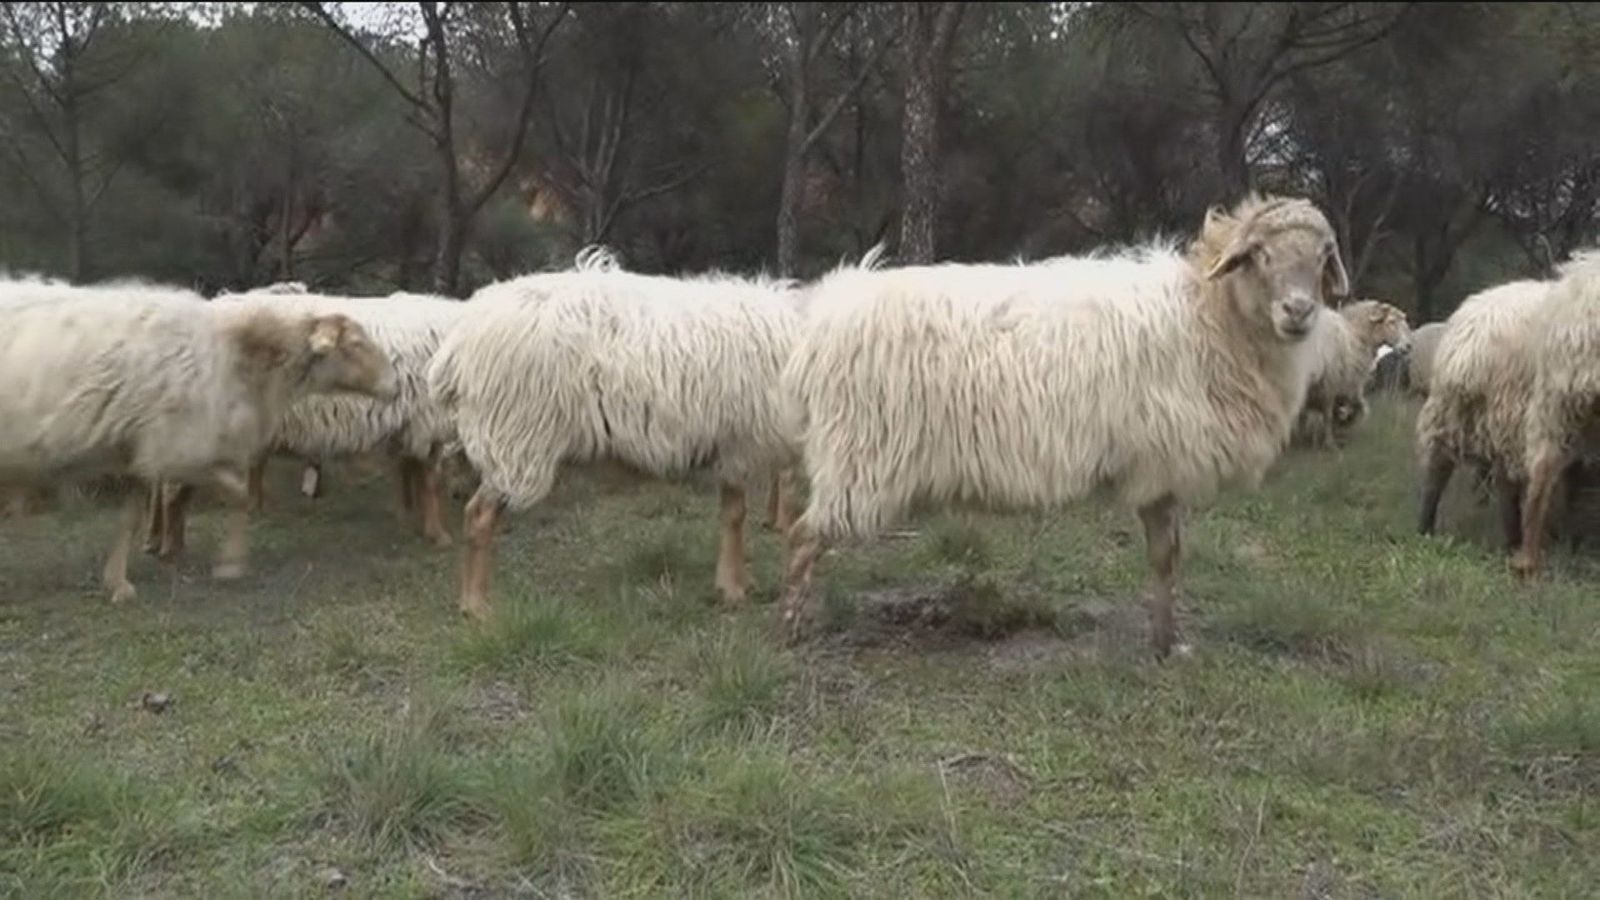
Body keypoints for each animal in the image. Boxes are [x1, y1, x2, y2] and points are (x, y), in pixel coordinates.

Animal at [0, 276, 398, 602]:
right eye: (356, 344)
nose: (394, 383)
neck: (238, 357)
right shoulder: (181, 450)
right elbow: (236, 494)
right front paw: (230, 565)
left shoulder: (144, 452)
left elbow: (130, 517)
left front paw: (118, 582)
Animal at [146, 289, 465, 561]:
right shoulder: (427, 420)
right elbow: (430, 480)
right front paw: (438, 534)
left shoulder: (412, 423)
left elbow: (409, 473)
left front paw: (410, 518)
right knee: (171, 486)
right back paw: (170, 547)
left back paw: (155, 541)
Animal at [427, 258, 802, 620]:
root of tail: (458, 344)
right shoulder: (739, 444)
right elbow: (735, 517)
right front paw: (733, 589)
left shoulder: (733, 446)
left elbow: (733, 514)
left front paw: (737, 583)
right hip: (517, 437)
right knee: (478, 516)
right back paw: (475, 605)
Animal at [775, 193, 1348, 658]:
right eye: (1260, 254)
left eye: (1323, 256)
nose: (1299, 311)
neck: (1208, 316)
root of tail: (822, 318)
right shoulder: (1161, 464)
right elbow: (1165, 557)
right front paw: (1165, 646)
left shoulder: (1160, 467)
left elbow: (1168, 556)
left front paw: (1167, 640)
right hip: (860, 459)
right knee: (803, 536)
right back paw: (792, 629)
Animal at [1296, 299, 1412, 448]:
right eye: (1391, 322)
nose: (1408, 346)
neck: (1355, 335)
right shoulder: (1332, 385)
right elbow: (1329, 415)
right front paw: (1329, 442)